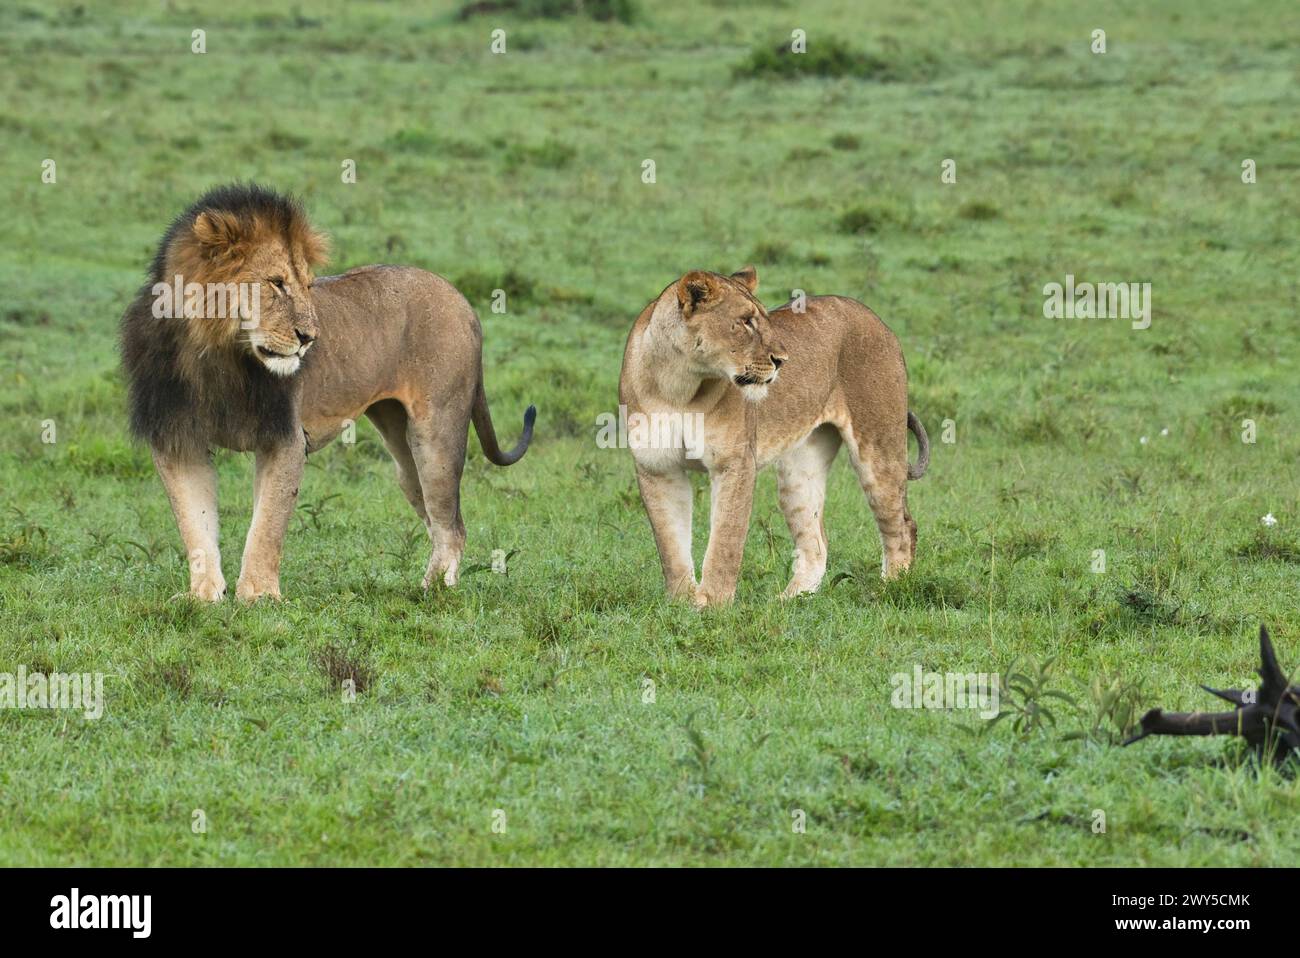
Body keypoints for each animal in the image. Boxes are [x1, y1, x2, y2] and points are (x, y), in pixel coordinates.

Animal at [120, 183, 535, 601]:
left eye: (307, 285)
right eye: (276, 282)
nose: (309, 338)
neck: (217, 353)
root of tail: (461, 298)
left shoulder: (285, 439)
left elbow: (267, 525)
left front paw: (258, 597)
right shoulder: (177, 439)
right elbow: (195, 526)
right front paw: (204, 597)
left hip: (436, 435)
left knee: (452, 525)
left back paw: (432, 593)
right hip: (403, 454)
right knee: (437, 518)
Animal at [618, 266, 928, 607]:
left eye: (765, 320)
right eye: (745, 321)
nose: (782, 360)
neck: (680, 384)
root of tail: (875, 318)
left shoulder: (734, 463)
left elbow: (725, 541)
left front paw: (712, 605)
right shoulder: (657, 468)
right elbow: (671, 546)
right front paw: (680, 604)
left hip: (877, 447)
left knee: (903, 525)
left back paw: (890, 589)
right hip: (798, 471)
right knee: (816, 542)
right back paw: (790, 601)